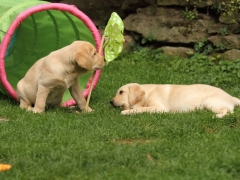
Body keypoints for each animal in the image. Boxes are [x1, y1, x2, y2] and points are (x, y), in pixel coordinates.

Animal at [110, 83, 240, 118]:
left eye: (121, 92)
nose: (110, 101)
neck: (147, 94)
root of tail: (231, 97)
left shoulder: (158, 108)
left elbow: (141, 109)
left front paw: (126, 112)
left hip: (210, 103)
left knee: (229, 111)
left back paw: (216, 116)